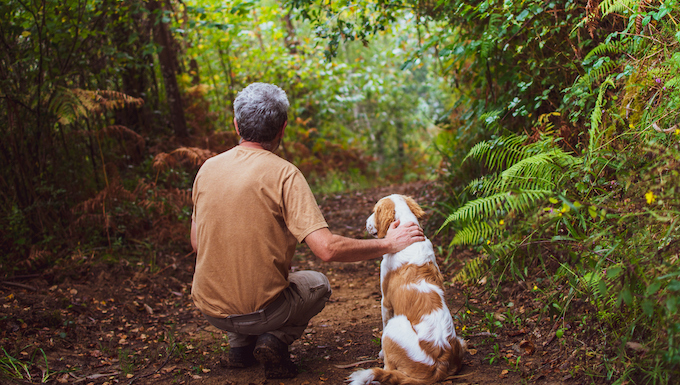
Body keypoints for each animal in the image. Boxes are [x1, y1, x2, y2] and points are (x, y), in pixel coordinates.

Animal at [348, 195, 464, 384]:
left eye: (375, 211)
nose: (365, 222)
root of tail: (439, 367)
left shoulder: (385, 302)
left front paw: (380, 353)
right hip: (461, 342)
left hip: (394, 326)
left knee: (388, 368)